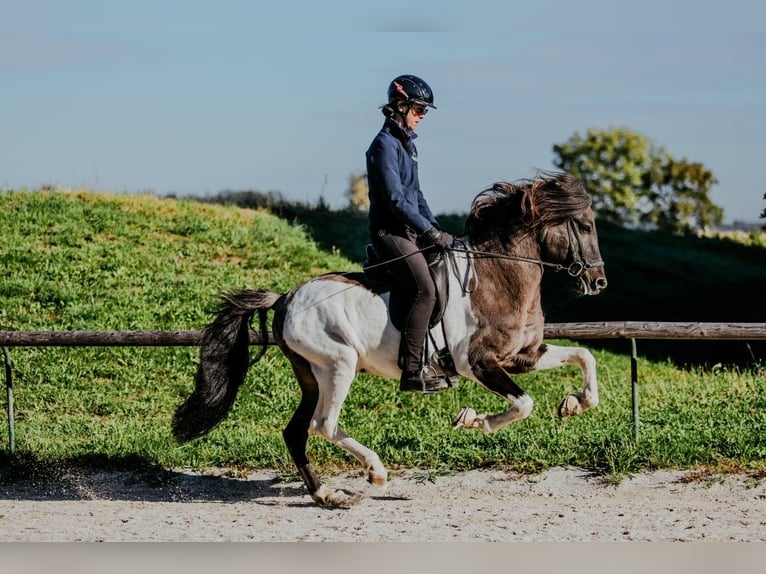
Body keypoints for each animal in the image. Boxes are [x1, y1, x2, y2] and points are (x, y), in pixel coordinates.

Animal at [172, 171, 607, 507]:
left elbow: (584, 355)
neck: (498, 276)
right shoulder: (477, 361)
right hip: (338, 365)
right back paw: (375, 473)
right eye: (585, 226)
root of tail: (286, 298)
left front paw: (575, 404)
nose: (598, 282)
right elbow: (524, 403)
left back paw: (326, 495)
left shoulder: (523, 354)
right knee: (323, 424)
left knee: (297, 431)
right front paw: (473, 420)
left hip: (311, 375)